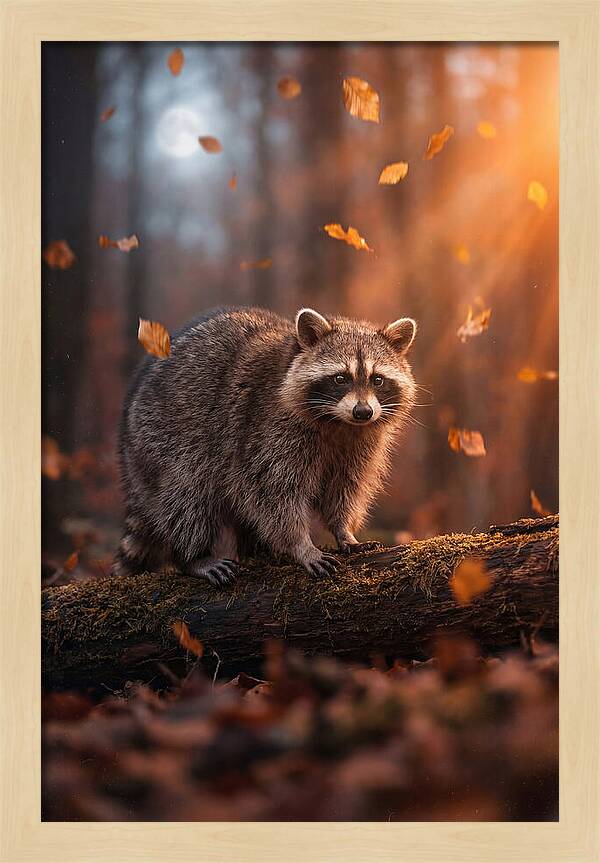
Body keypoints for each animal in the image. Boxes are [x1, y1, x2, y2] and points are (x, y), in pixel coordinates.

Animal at [115, 306, 417, 585]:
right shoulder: (266, 430)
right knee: (187, 495)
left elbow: (344, 488)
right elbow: (274, 493)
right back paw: (193, 556)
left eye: (377, 379)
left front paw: (343, 530)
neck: (339, 423)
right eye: (341, 378)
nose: (363, 412)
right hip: (163, 438)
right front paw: (301, 545)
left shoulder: (360, 444)